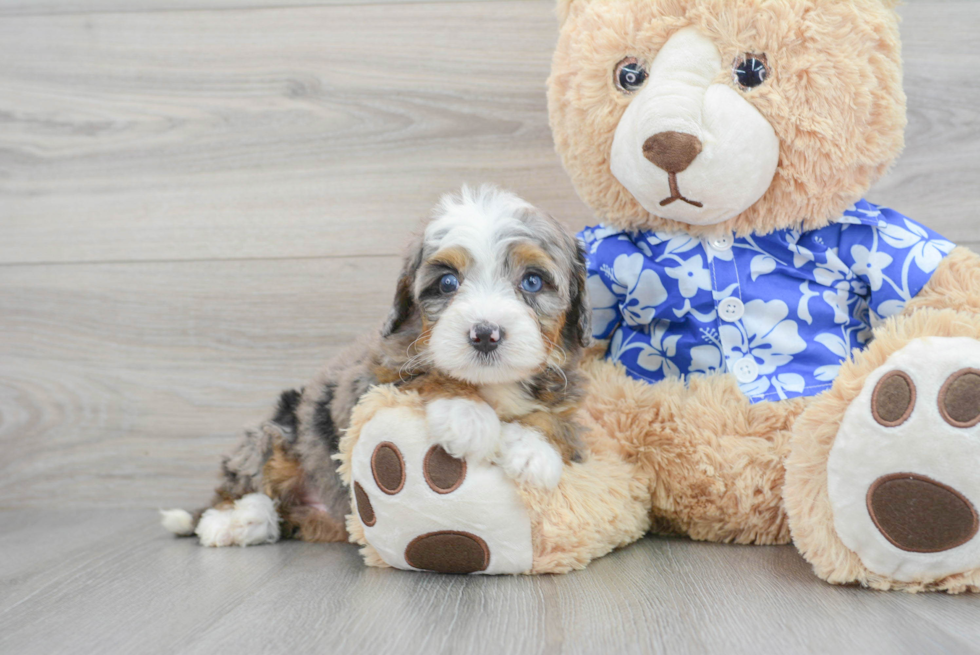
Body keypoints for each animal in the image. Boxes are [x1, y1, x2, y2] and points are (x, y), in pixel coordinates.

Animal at [162, 186, 592, 548]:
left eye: (533, 281)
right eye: (448, 283)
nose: (485, 334)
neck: (491, 383)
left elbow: (558, 418)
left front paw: (535, 453)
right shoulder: (371, 377)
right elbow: (425, 374)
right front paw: (467, 416)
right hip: (276, 434)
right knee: (245, 488)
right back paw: (229, 522)